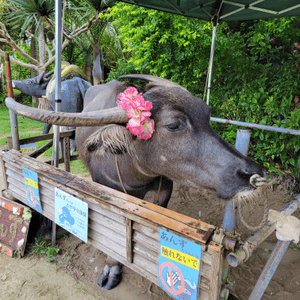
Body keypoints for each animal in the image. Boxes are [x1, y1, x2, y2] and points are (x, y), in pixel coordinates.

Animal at [5, 74, 264, 290]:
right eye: (174, 125)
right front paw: (112, 269)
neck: (135, 171)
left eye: (207, 116)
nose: (251, 172)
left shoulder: (164, 190)